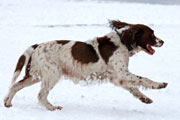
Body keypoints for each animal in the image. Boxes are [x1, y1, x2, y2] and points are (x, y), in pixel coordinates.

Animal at [3, 19, 167, 110]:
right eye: (151, 33)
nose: (163, 41)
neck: (122, 42)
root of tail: (36, 46)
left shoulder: (117, 77)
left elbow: (134, 88)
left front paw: (145, 98)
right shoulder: (122, 73)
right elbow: (143, 79)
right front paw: (159, 85)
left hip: (35, 75)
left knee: (16, 85)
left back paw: (7, 103)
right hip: (52, 74)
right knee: (41, 95)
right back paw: (52, 108)